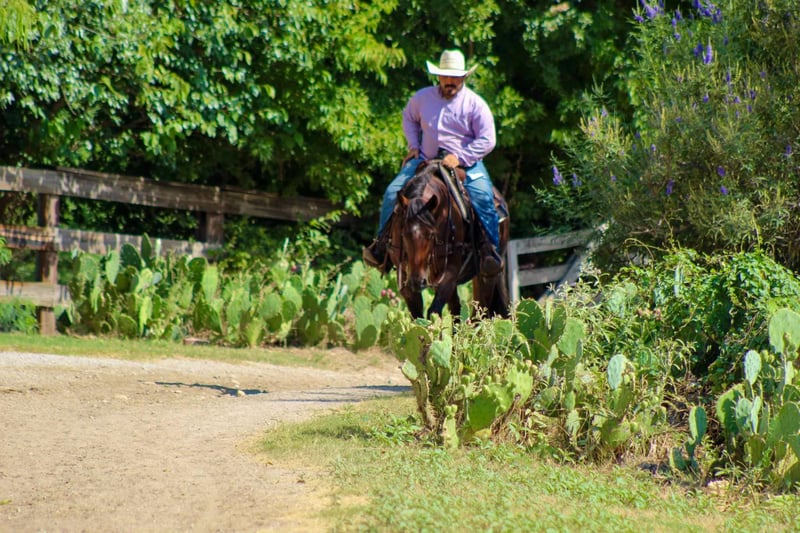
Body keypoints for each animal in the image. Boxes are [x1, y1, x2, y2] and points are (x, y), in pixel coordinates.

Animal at [386, 159, 510, 320]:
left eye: (431, 234)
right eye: (403, 233)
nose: (418, 281)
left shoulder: (449, 273)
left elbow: (433, 312)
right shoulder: (405, 277)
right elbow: (417, 314)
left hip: (488, 274)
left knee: (480, 310)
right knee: (456, 308)